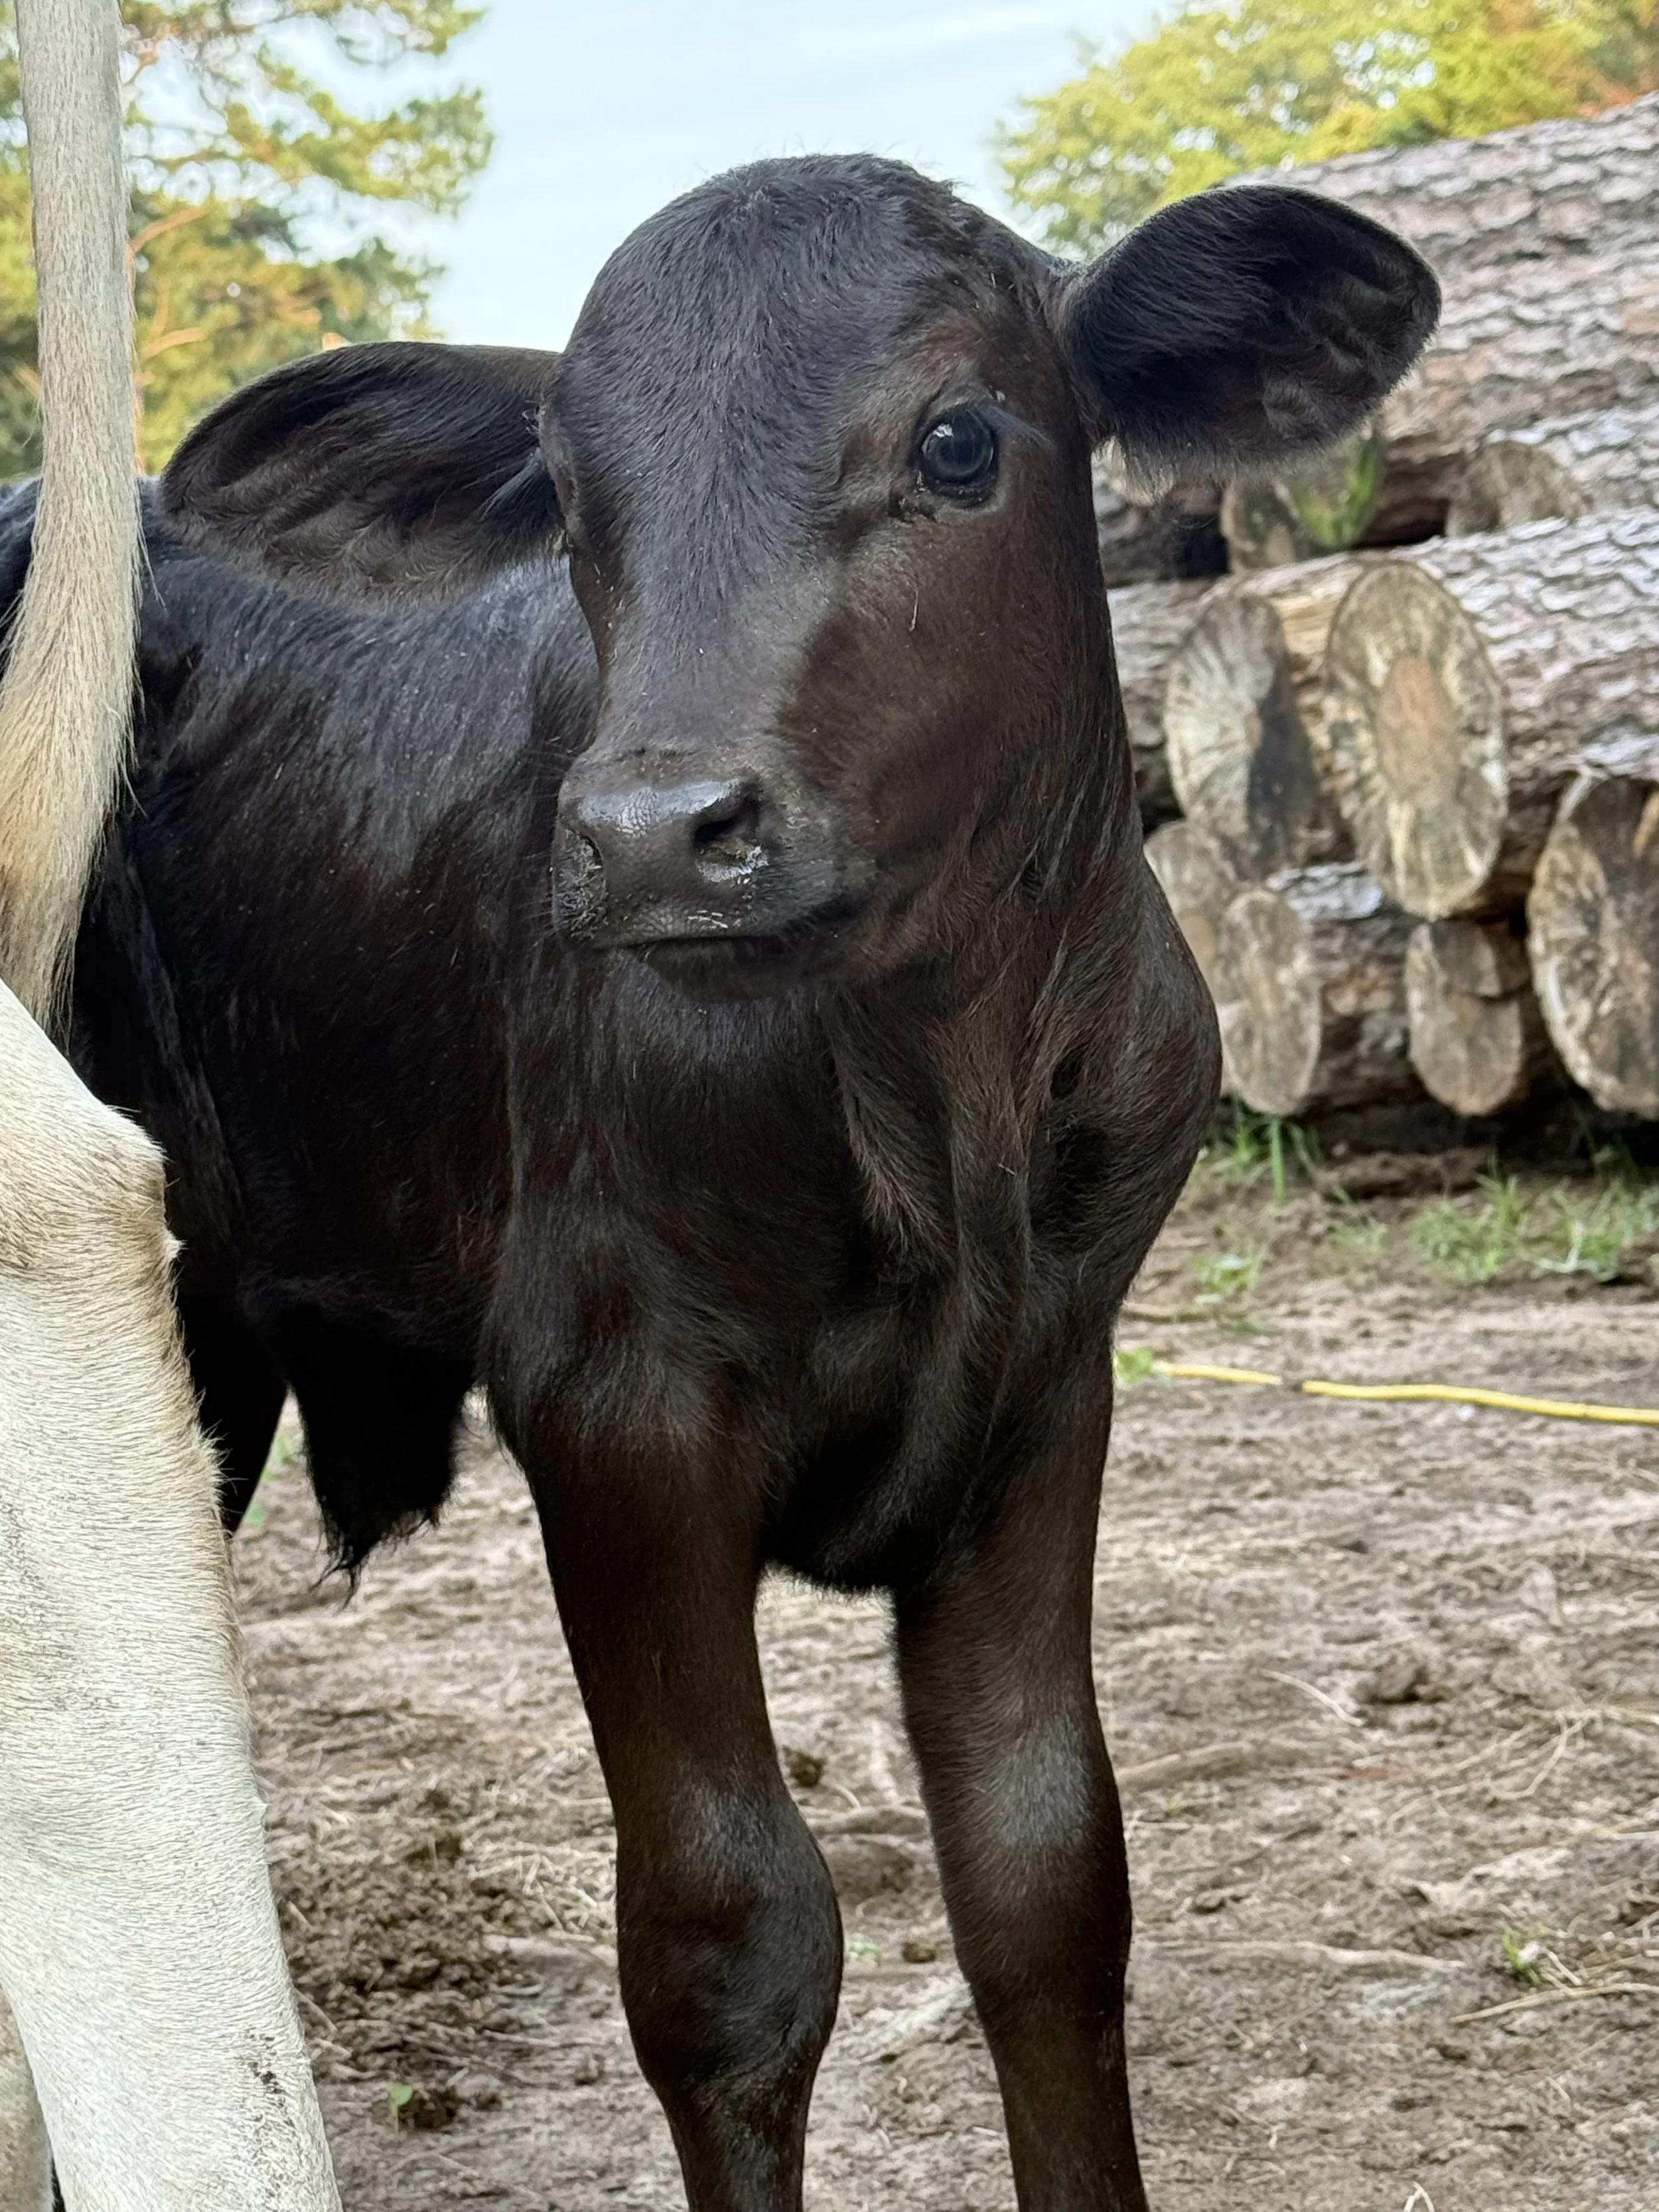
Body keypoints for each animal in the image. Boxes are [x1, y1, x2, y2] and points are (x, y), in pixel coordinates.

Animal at [56, 158, 1438, 2210]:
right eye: (562, 496)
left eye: (959, 440)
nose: (649, 833)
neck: (935, 1099)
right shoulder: (609, 1398)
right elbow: (728, 1939)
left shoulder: (1048, 1388)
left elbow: (1048, 1876)